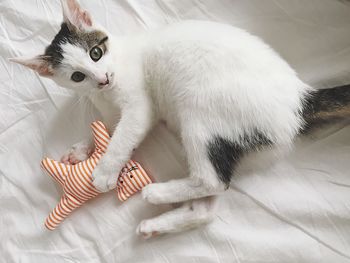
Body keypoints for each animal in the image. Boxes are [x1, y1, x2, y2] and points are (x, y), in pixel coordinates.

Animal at [9, 0, 348, 239]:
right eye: (77, 77)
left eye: (95, 52)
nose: (103, 79)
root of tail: (298, 99)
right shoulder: (106, 107)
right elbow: (107, 129)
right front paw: (80, 150)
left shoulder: (139, 106)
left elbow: (121, 137)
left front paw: (103, 171)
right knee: (210, 201)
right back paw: (157, 225)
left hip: (202, 112)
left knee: (212, 180)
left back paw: (157, 193)